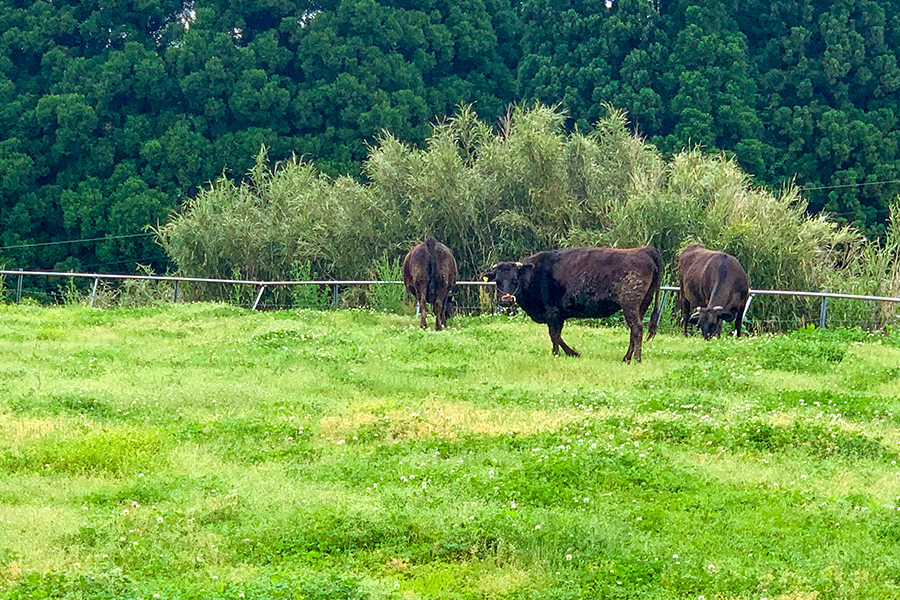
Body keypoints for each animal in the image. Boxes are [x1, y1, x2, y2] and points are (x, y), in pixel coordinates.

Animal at [482, 246, 663, 362]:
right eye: (497, 281)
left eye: (515, 279)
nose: (506, 300)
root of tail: (644, 249)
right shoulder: (560, 314)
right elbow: (558, 334)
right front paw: (570, 353)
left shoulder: (552, 311)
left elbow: (554, 334)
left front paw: (559, 353)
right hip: (642, 304)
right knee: (634, 330)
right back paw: (626, 357)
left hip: (630, 303)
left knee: (636, 328)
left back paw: (636, 359)